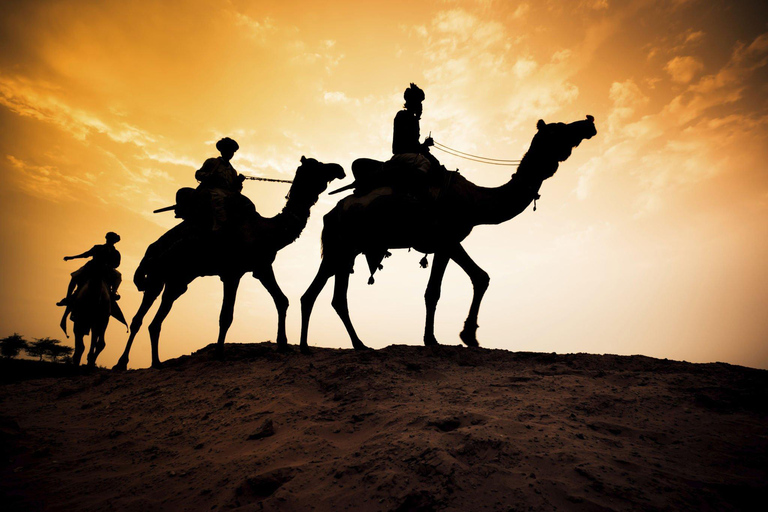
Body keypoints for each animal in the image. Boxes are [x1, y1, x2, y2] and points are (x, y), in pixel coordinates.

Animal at [112, 156, 344, 368]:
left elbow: (282, 300)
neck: (264, 230)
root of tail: (152, 248)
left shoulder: (261, 267)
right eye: (317, 166)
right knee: (138, 318)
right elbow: (226, 315)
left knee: (156, 320)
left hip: (178, 280)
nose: (339, 168)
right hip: (156, 276)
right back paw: (121, 363)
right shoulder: (232, 272)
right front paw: (218, 354)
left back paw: (156, 362)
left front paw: (283, 345)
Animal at [298, 115, 592, 352]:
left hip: (344, 251)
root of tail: (330, 214)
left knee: (327, 297)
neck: (476, 200)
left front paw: (454, 336)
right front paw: (449, 337)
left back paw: (348, 345)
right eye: (560, 128)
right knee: (324, 295)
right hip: (341, 246)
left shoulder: (447, 244)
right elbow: (453, 286)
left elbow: (458, 283)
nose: (588, 122)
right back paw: (319, 346)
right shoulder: (446, 240)